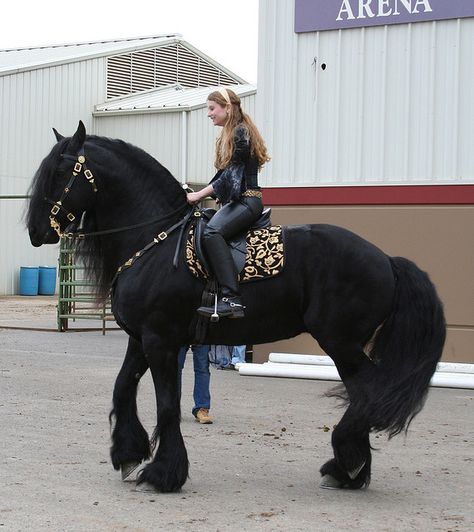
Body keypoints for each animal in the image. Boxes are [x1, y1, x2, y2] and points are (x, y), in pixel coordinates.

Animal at [27, 122, 446, 492]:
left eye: (61, 170)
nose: (35, 231)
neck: (155, 239)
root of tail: (387, 260)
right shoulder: (140, 339)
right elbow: (121, 388)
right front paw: (129, 454)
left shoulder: (161, 341)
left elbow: (167, 404)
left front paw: (163, 474)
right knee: (365, 395)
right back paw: (348, 470)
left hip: (341, 343)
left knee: (369, 393)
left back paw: (346, 464)